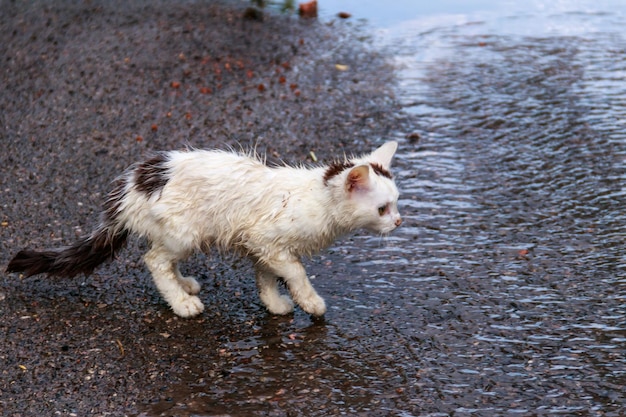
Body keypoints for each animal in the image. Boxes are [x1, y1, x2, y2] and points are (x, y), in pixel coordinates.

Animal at [6, 141, 400, 316]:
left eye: (397, 202)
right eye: (382, 208)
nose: (398, 221)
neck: (317, 200)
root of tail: (133, 184)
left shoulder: (260, 244)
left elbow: (266, 277)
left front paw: (274, 304)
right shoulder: (267, 240)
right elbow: (296, 272)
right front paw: (310, 302)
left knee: (163, 258)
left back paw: (184, 285)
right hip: (184, 231)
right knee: (154, 261)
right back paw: (182, 303)